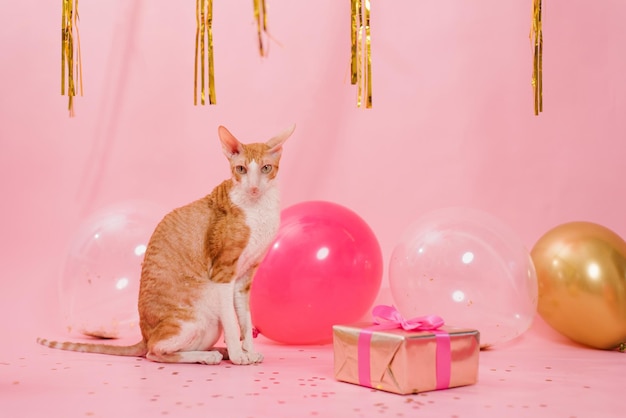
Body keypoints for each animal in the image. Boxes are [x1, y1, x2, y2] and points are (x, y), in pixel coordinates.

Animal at [37, 122, 294, 364]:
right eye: (241, 169)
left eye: (266, 168)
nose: (254, 188)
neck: (259, 209)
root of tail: (143, 335)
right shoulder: (223, 273)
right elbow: (232, 323)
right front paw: (240, 356)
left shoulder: (243, 279)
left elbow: (245, 320)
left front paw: (248, 351)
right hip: (194, 318)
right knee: (155, 352)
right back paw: (211, 356)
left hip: (210, 326)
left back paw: (219, 352)